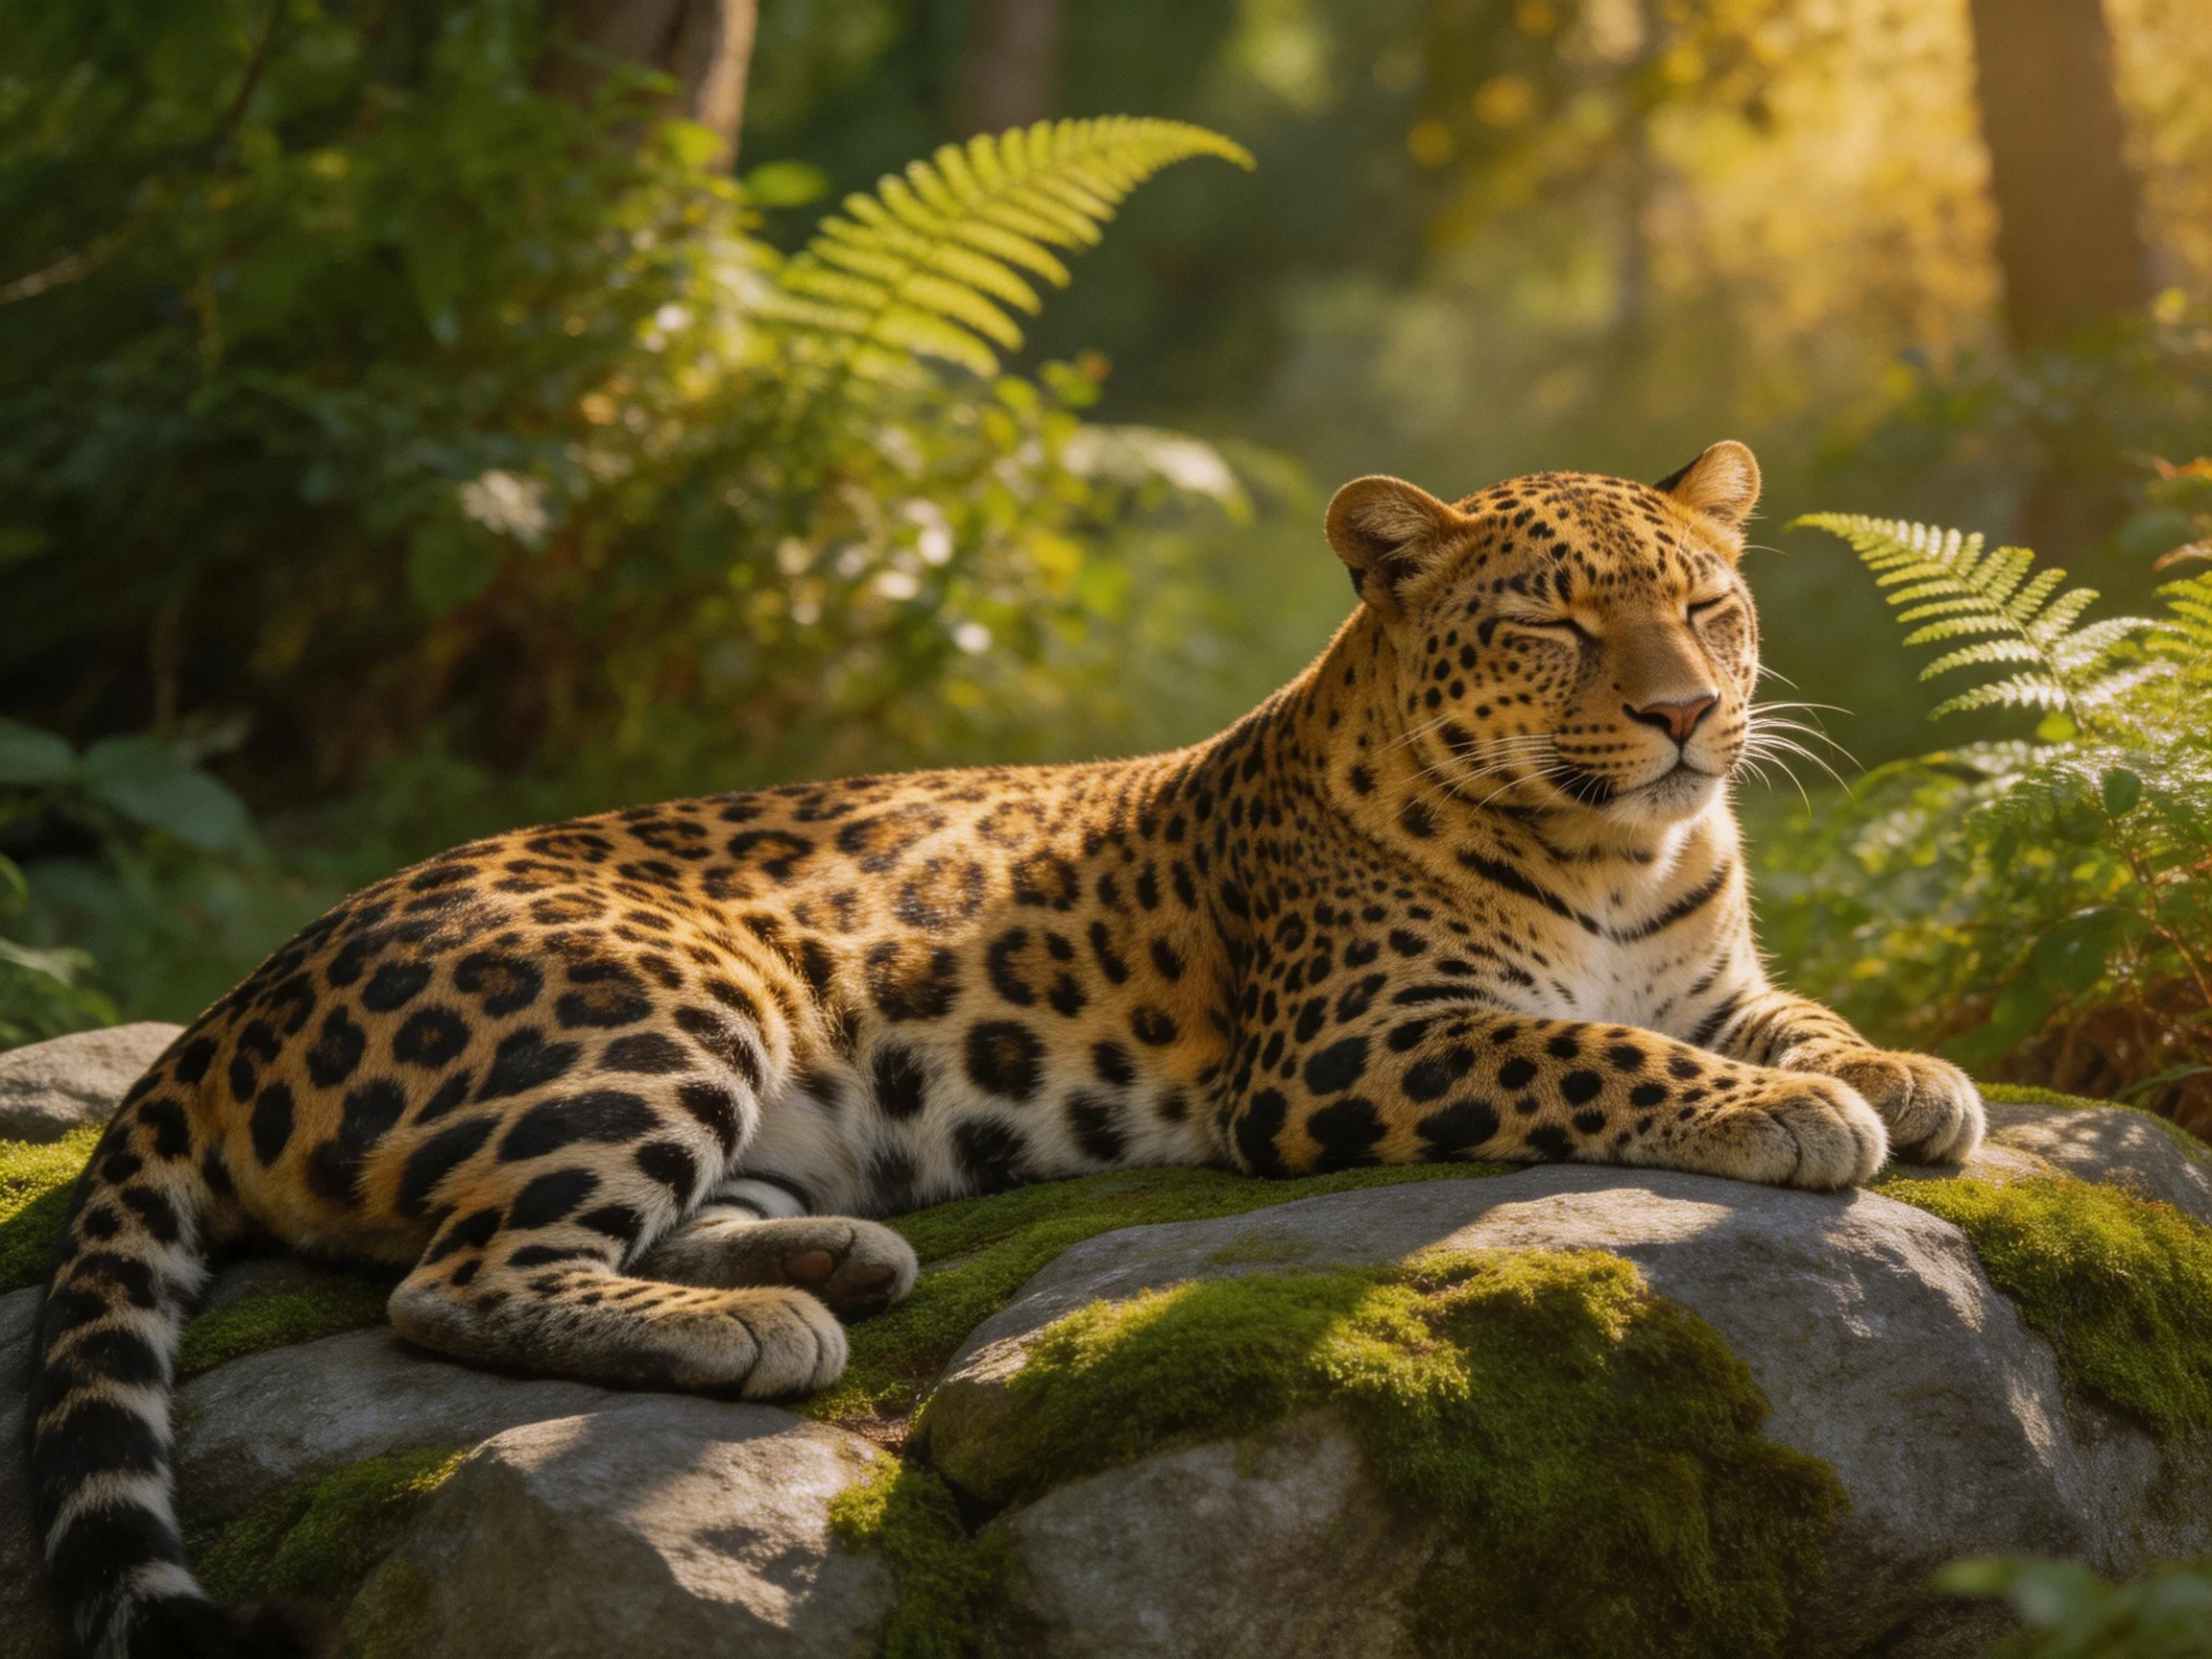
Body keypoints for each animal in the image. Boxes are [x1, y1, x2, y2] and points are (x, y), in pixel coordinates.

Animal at [30, 440, 1982, 1658]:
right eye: (1547, 621)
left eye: (1708, 605)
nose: (1688, 714)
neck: (1620, 855)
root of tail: (237, 996)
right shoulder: (1351, 1046)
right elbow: (1600, 1060)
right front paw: (1797, 1112)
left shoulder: (1706, 968)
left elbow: (1788, 1011)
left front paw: (1903, 1074)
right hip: (661, 994)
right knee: (454, 1274)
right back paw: (762, 1328)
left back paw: (834, 1257)